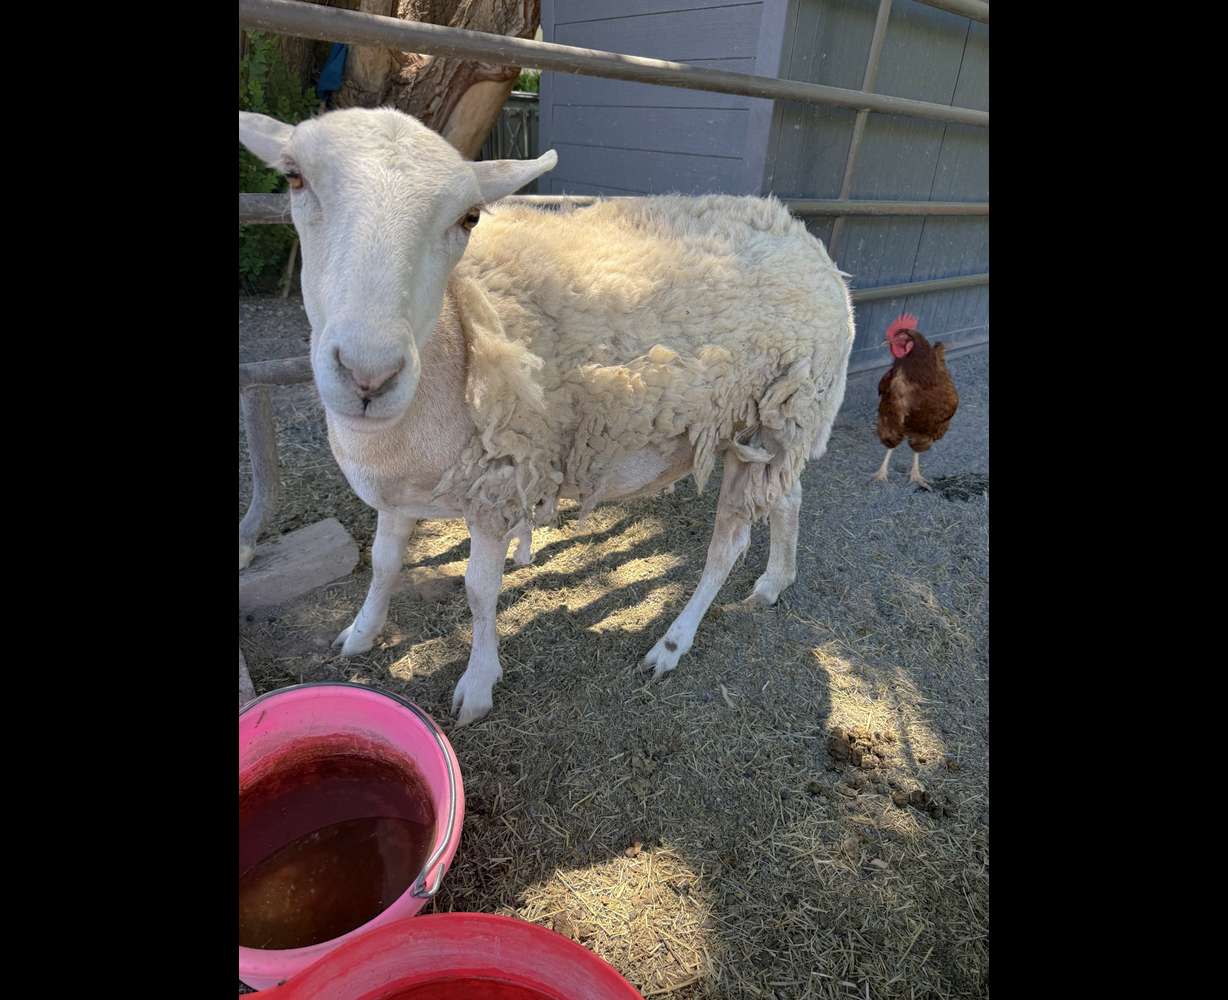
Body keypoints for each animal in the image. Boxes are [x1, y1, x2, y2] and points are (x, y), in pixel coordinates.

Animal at [238, 107, 855, 726]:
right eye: (294, 178)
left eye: (469, 216)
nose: (369, 375)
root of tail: (803, 236)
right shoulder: (401, 489)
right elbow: (384, 563)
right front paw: (361, 634)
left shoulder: (496, 484)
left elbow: (478, 590)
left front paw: (477, 685)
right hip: (774, 424)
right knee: (789, 497)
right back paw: (774, 582)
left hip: (774, 414)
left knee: (727, 545)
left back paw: (673, 643)